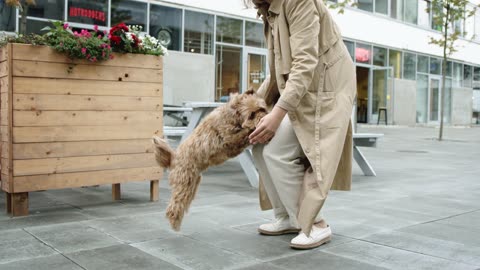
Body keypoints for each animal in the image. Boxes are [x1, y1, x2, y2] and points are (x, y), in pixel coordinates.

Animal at [153, 90, 268, 230]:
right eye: (251, 115)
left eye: (261, 108)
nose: (264, 117)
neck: (233, 116)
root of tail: (173, 159)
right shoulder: (229, 140)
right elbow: (244, 133)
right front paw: (252, 131)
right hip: (184, 182)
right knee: (174, 206)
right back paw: (175, 223)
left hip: (192, 184)